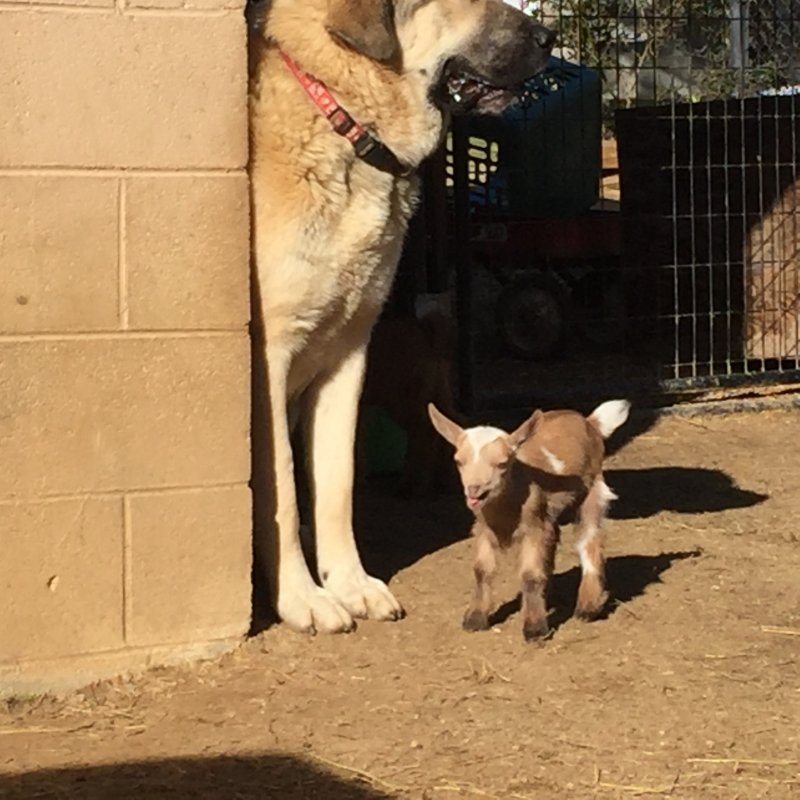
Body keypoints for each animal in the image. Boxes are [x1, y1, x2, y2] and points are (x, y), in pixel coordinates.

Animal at [250, 1, 556, 636]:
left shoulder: (346, 356)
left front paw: (350, 584)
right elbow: (283, 488)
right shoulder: (269, 359)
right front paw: (302, 596)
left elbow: (336, 482)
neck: (342, 117)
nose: (550, 35)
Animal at [428, 400, 628, 644]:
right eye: (458, 461)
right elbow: (482, 570)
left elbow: (530, 574)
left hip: (593, 491)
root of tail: (590, 421)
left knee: (589, 541)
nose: (474, 490)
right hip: (549, 515)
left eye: (502, 463)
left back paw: (587, 608)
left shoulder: (533, 528)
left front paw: (535, 629)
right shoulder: (484, 528)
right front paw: (475, 619)